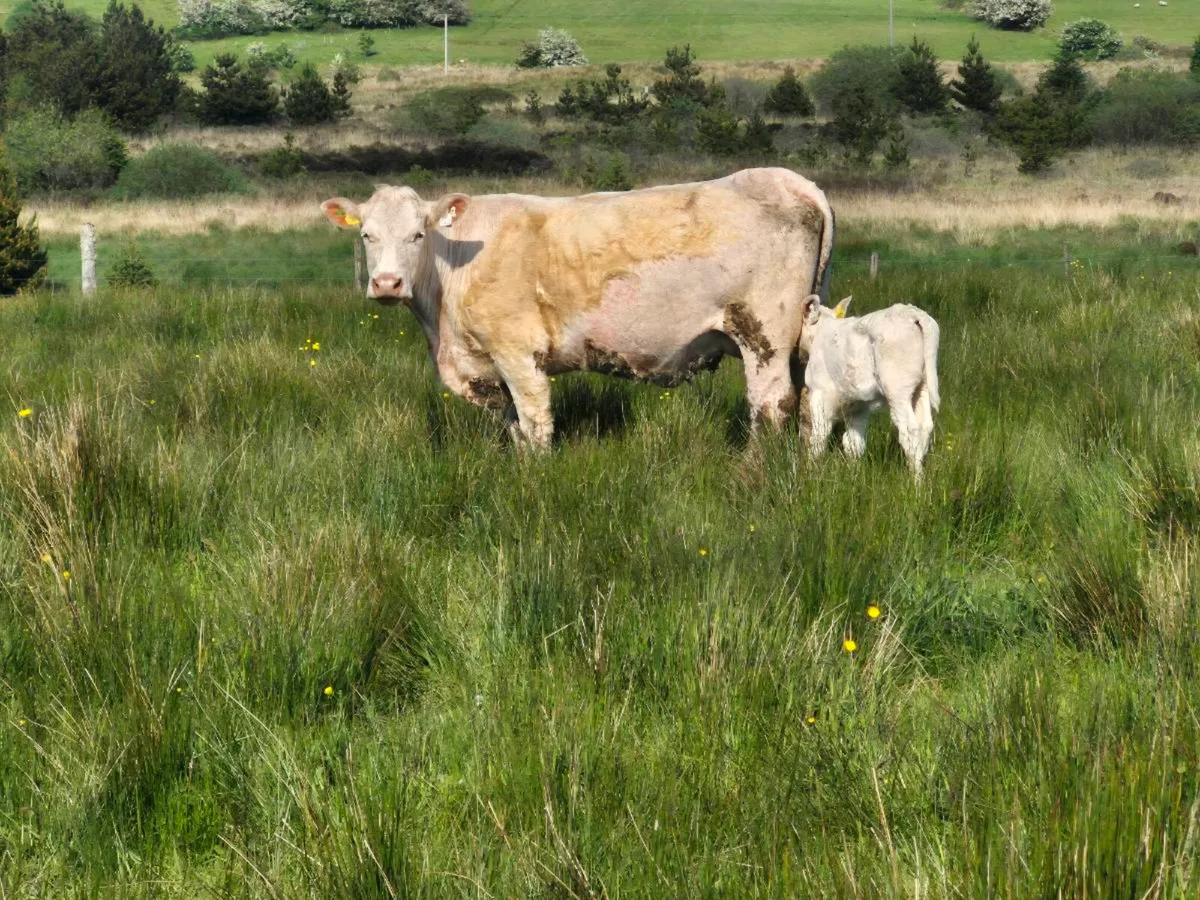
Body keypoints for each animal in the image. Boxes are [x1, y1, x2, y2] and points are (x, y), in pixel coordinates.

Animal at [321, 167, 834, 448]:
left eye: (417, 234)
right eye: (366, 234)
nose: (387, 283)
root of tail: (793, 181)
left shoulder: (518, 354)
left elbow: (535, 426)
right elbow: (515, 429)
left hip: (764, 333)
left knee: (770, 406)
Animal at [796, 295, 941, 478]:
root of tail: (914, 314)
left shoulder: (819, 393)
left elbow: (819, 436)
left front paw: (811, 471)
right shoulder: (859, 404)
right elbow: (853, 443)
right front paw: (854, 475)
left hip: (898, 388)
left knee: (910, 429)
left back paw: (916, 479)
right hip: (923, 385)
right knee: (925, 426)